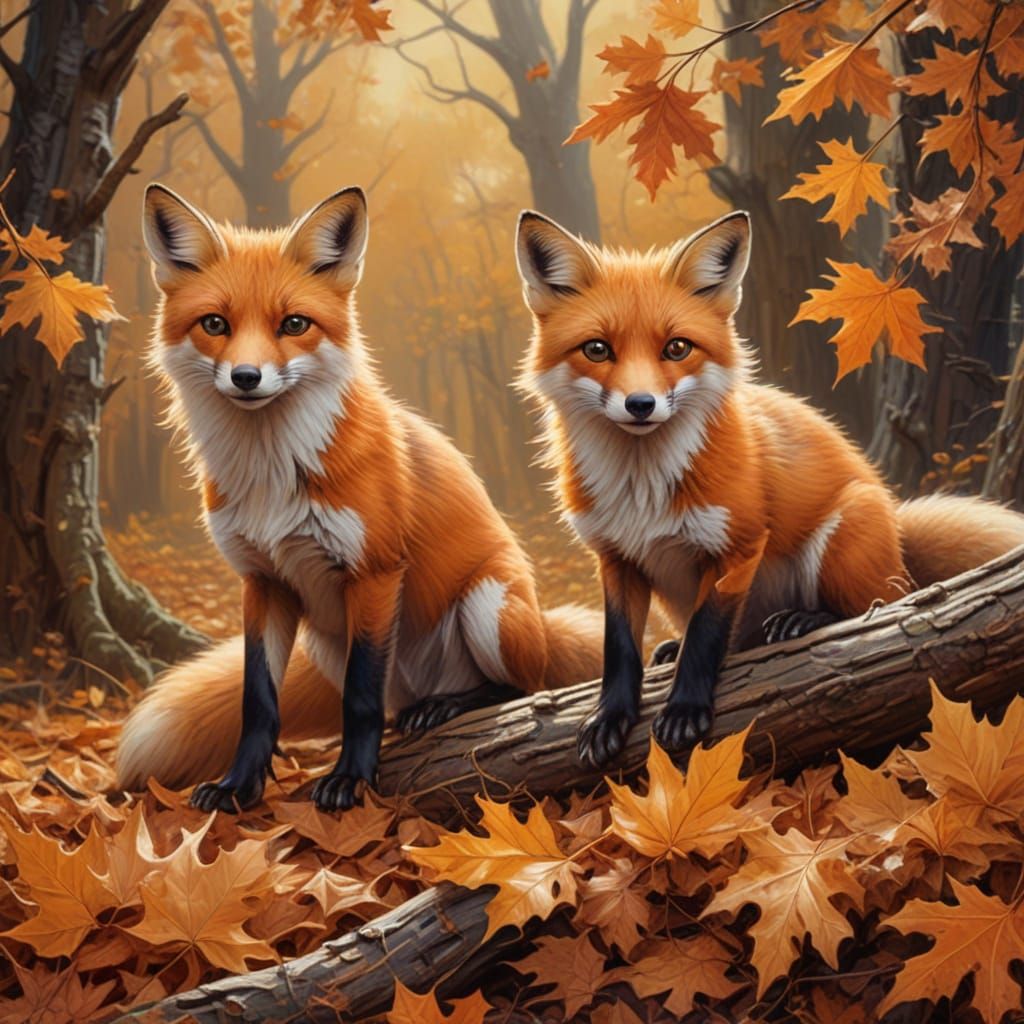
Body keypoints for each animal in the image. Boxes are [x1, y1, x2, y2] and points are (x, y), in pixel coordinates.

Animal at [116, 184, 604, 813]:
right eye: (215, 323)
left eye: (294, 323)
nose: (246, 377)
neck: (273, 474)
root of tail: (544, 623)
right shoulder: (262, 581)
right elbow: (258, 701)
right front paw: (238, 786)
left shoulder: (374, 572)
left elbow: (360, 696)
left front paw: (351, 778)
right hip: (326, 640)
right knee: (396, 707)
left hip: (488, 603)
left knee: (520, 687)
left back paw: (449, 706)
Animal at [515, 208, 1024, 769]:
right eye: (597, 349)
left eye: (677, 347)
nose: (641, 404)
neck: (642, 488)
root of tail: (894, 519)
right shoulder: (615, 558)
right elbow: (620, 647)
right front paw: (609, 716)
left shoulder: (737, 545)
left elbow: (706, 636)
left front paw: (685, 710)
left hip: (844, 538)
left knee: (886, 604)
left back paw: (806, 620)